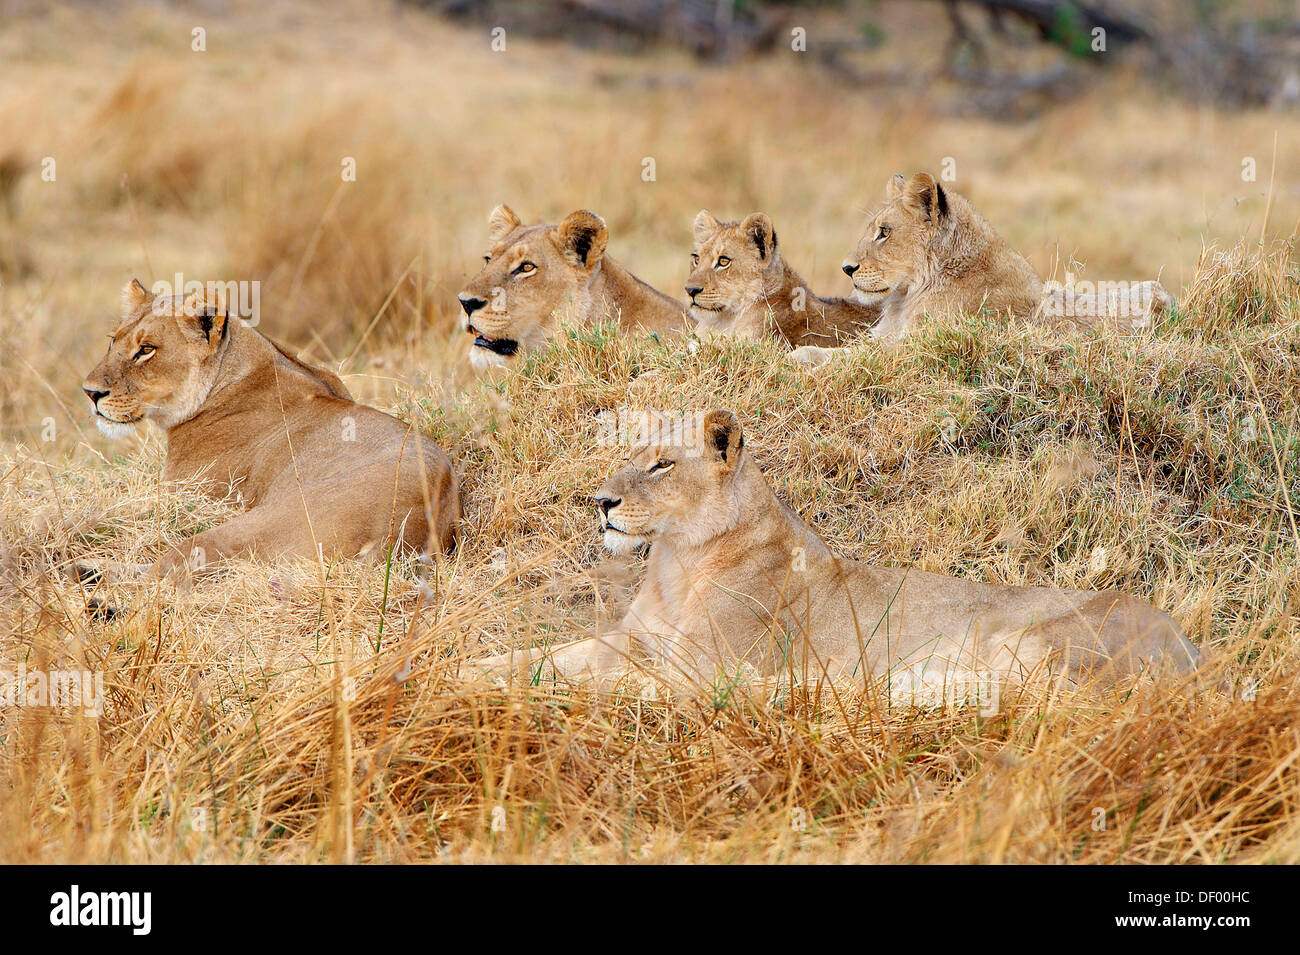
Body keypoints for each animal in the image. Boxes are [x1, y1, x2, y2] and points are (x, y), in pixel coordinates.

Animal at [80, 279, 459, 575]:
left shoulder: (189, 491)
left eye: (147, 349)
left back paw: (88, 578)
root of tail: (406, 531)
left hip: (251, 523)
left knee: (170, 569)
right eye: (113, 340)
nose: (90, 392)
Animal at [471, 410, 1198, 699]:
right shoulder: (632, 639)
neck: (676, 563)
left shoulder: (703, 665)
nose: (601, 501)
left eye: (661, 464)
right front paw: (471, 667)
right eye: (629, 455)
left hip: (1031, 640)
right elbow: (542, 655)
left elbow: (611, 680)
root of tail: (1194, 649)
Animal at [792, 173, 1172, 363]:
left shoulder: (916, 347)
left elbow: (850, 359)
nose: (846, 268)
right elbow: (841, 350)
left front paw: (798, 358)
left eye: (884, 232)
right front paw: (804, 354)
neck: (906, 297)